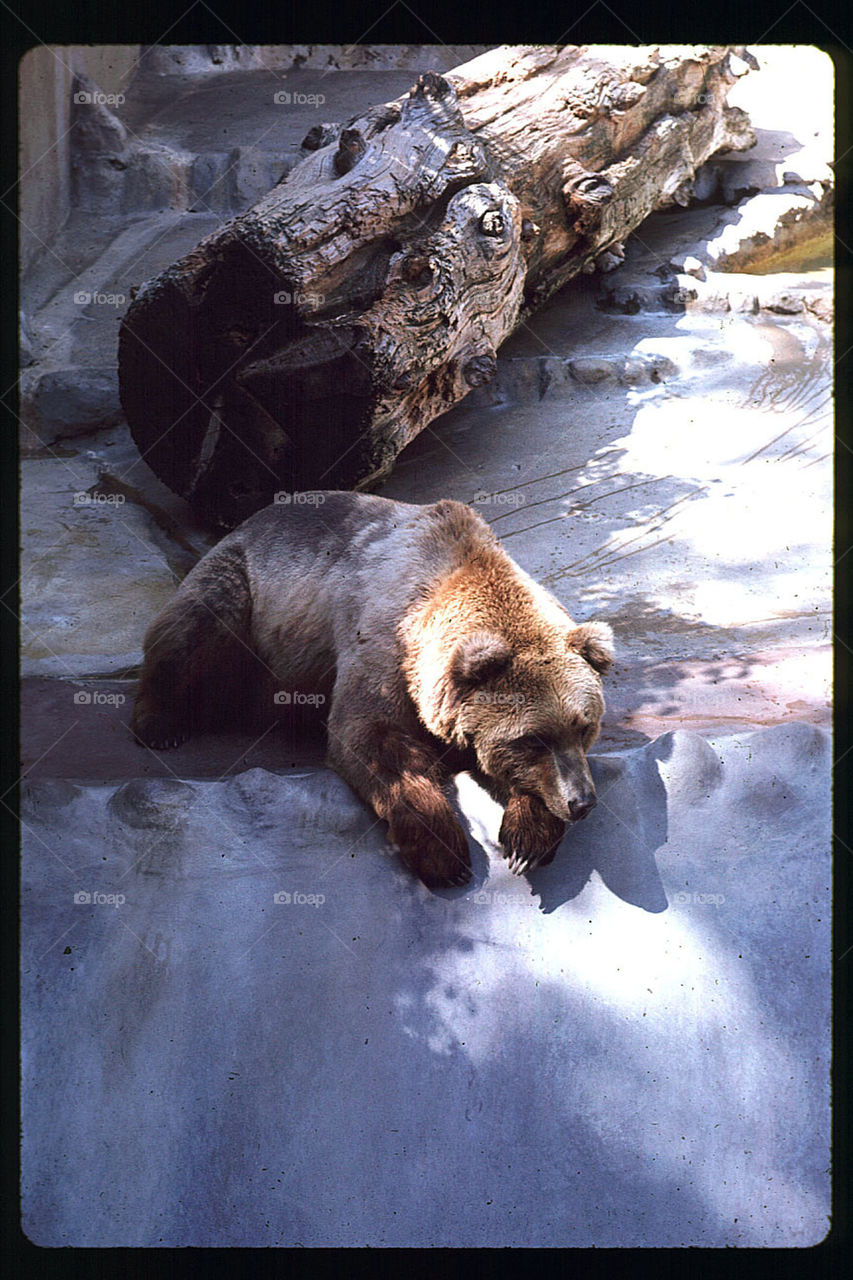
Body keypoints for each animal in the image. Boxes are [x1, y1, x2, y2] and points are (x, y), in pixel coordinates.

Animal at [130, 492, 614, 888]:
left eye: (584, 726)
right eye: (533, 738)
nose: (582, 802)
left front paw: (527, 839)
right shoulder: (382, 645)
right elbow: (371, 737)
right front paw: (445, 854)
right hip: (245, 587)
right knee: (196, 624)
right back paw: (161, 724)